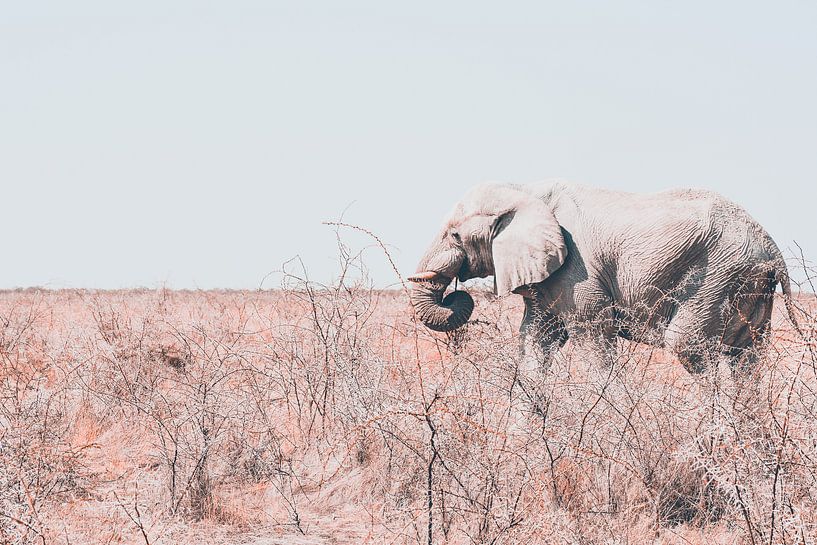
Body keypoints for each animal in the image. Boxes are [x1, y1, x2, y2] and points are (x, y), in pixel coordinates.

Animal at [408, 181, 796, 372]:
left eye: (454, 236)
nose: (455, 292)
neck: (524, 193)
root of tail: (772, 248)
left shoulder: (577, 272)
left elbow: (593, 337)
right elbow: (536, 340)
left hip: (718, 276)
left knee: (687, 345)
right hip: (748, 286)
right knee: (745, 357)